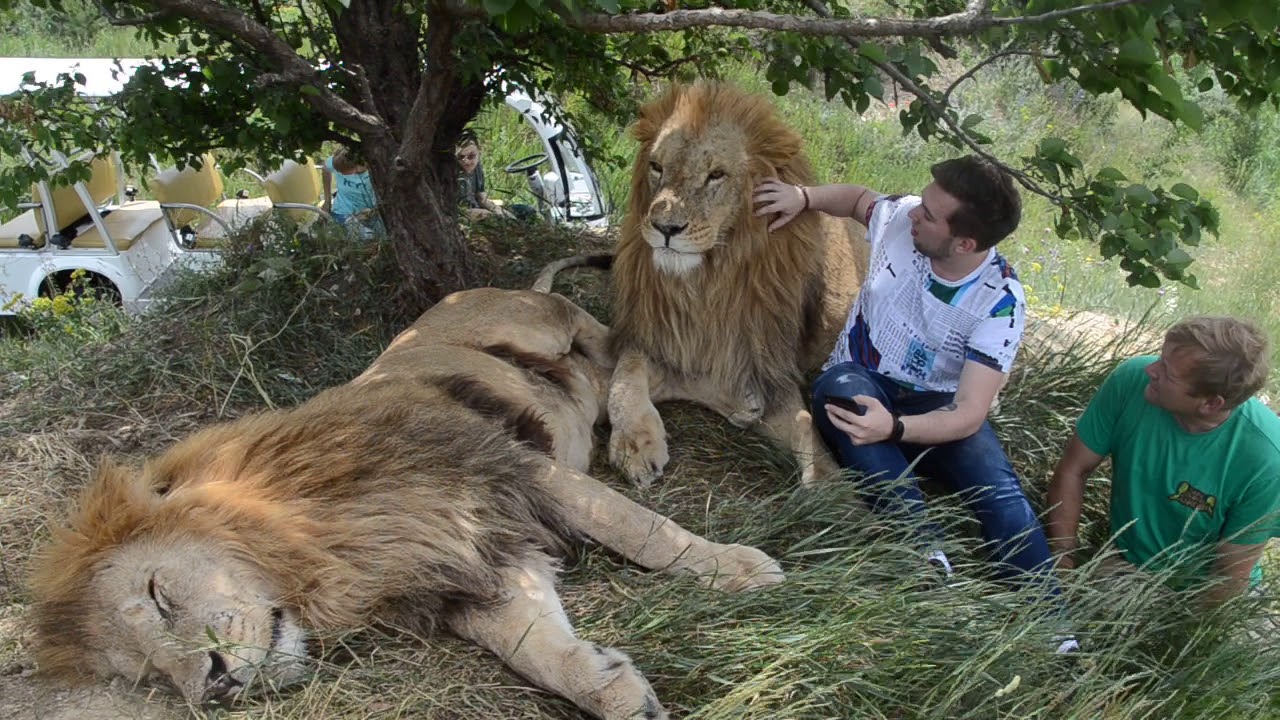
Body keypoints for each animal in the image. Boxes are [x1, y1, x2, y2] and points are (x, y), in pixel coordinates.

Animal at [30, 285, 783, 717]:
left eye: (157, 593)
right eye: (151, 677)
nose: (213, 689)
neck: (326, 550)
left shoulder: (510, 468)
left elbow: (640, 529)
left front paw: (737, 570)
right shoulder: (463, 562)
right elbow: (535, 648)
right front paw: (610, 687)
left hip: (548, 325)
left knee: (633, 351)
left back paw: (644, 438)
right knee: (661, 370)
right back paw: (739, 405)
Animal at [601, 83, 870, 484]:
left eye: (716, 174)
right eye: (657, 167)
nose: (665, 228)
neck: (707, 284)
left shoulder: (771, 370)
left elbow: (805, 427)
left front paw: (830, 484)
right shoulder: (656, 340)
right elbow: (624, 378)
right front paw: (635, 442)